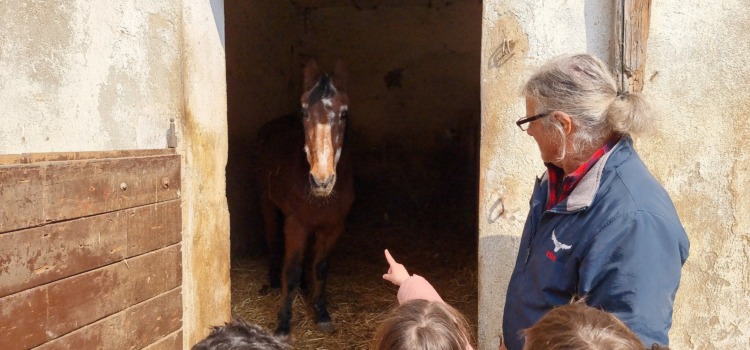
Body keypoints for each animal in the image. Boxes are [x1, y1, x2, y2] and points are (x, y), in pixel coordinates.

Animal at [258, 59, 354, 336]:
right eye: (304, 113)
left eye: (344, 114)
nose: (321, 180)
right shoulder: (296, 224)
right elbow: (290, 270)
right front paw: (283, 323)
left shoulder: (333, 227)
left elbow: (320, 268)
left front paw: (321, 312)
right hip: (267, 204)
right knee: (273, 239)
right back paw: (273, 280)